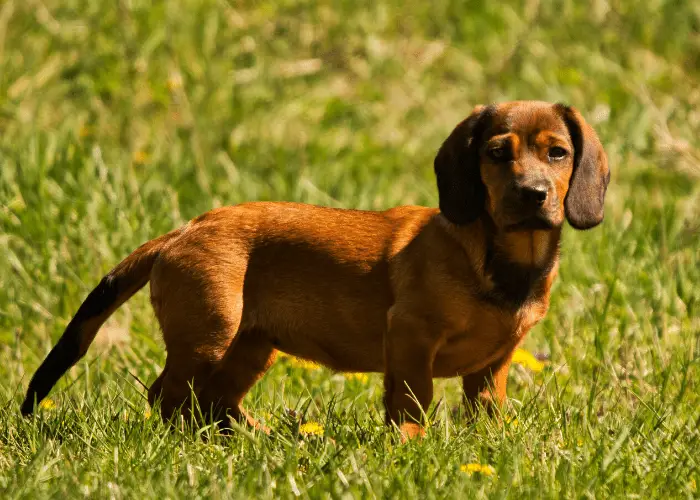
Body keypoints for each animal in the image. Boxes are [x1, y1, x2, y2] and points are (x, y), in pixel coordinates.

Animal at [21, 100, 608, 438]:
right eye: (496, 153)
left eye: (557, 153)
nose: (532, 194)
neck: (499, 258)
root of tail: (183, 231)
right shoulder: (411, 336)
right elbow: (411, 403)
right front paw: (410, 450)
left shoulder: (493, 364)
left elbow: (484, 411)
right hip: (211, 332)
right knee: (169, 398)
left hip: (251, 345)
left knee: (212, 402)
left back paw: (261, 439)